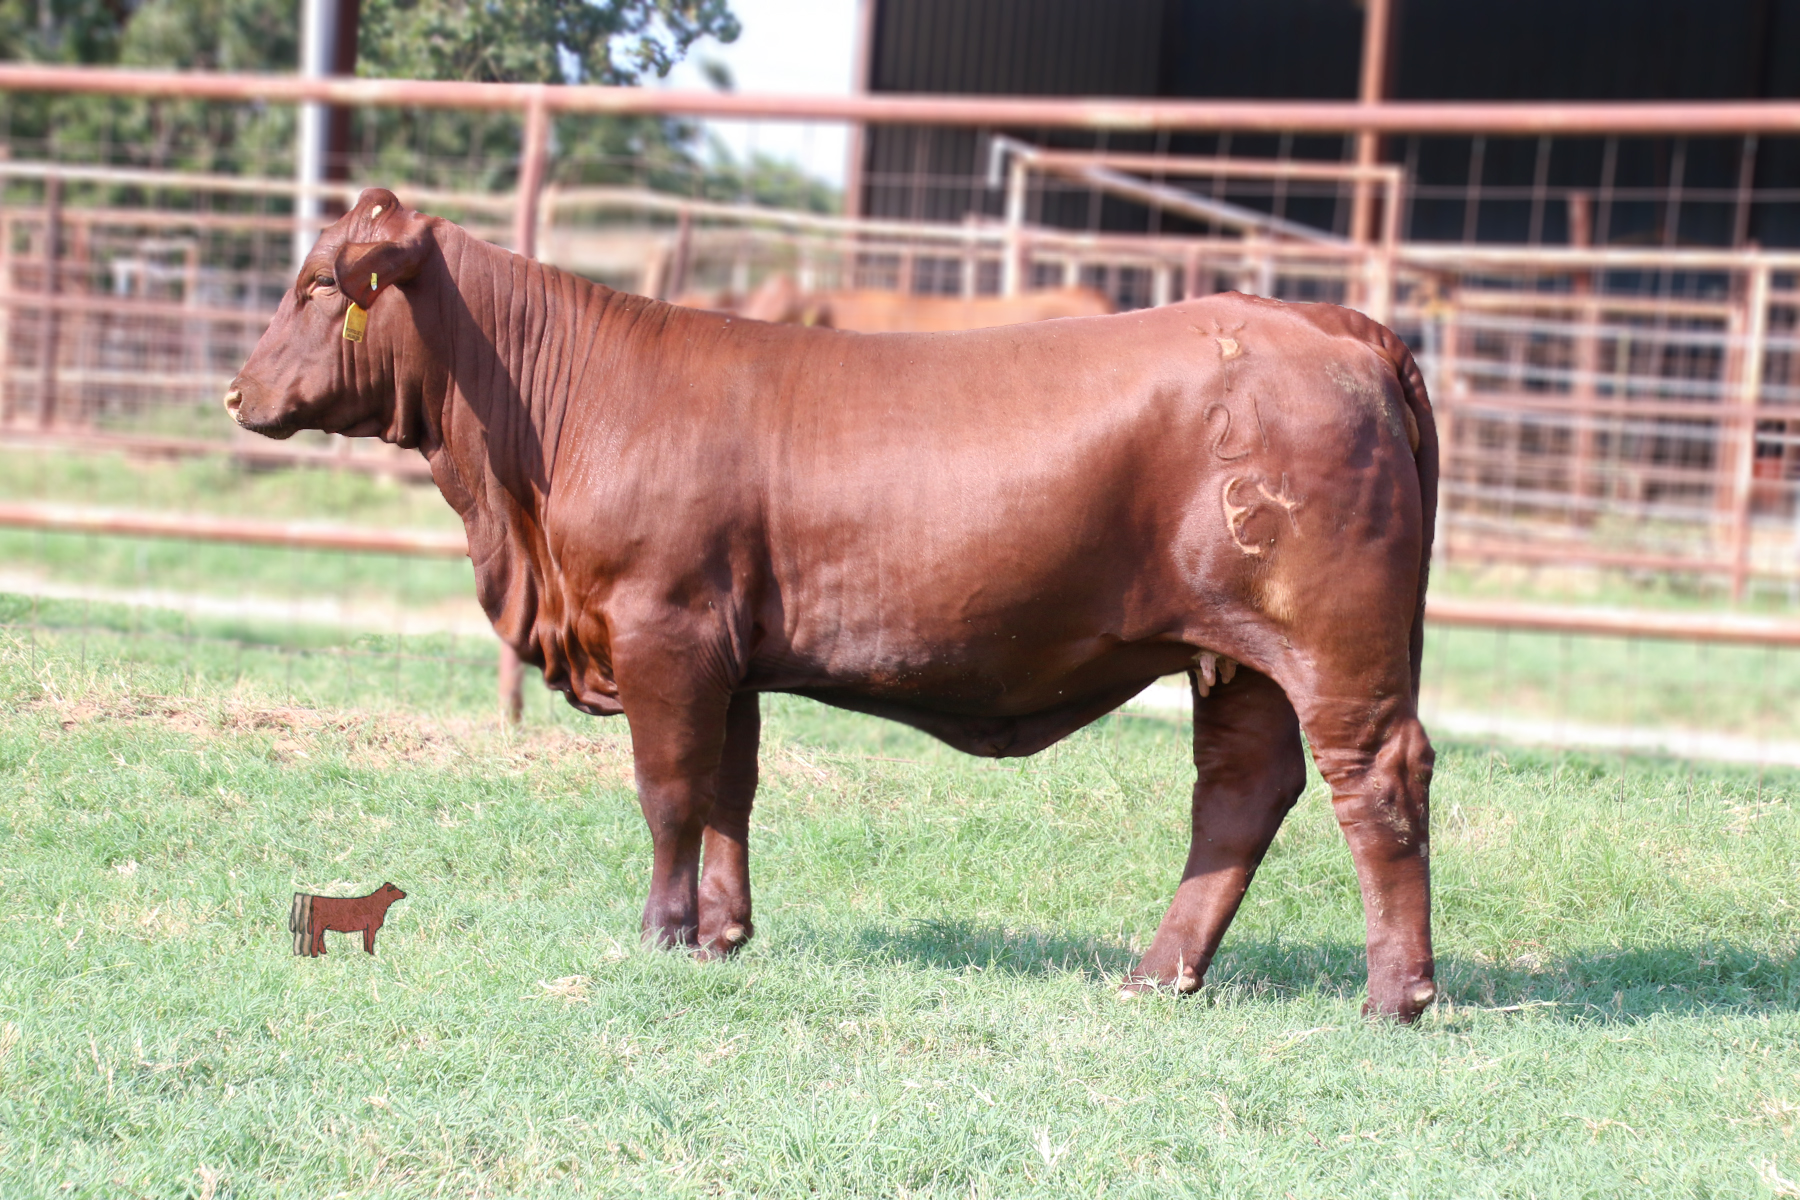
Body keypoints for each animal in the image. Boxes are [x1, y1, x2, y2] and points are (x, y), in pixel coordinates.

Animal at [227, 189, 1439, 1020]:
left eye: (318, 284)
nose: (236, 391)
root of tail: (1338, 323)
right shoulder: (725, 658)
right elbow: (729, 790)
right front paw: (721, 934)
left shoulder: (663, 629)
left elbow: (669, 792)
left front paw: (660, 933)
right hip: (1236, 655)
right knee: (1240, 793)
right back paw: (1157, 974)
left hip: (1337, 645)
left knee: (1376, 782)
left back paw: (1396, 995)